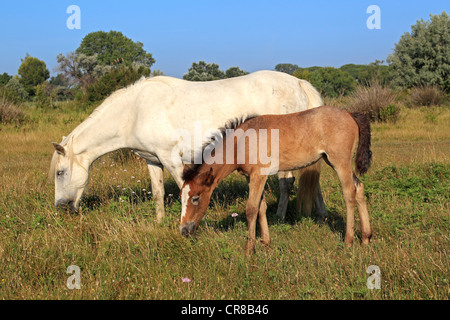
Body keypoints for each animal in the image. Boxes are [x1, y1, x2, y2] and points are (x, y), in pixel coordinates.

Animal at [50, 69, 326, 220]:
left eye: (60, 173)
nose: (61, 206)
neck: (135, 111)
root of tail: (298, 83)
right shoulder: (152, 160)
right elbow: (158, 192)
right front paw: (159, 222)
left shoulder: (172, 159)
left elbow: (186, 190)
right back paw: (319, 214)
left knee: (287, 182)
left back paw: (280, 216)